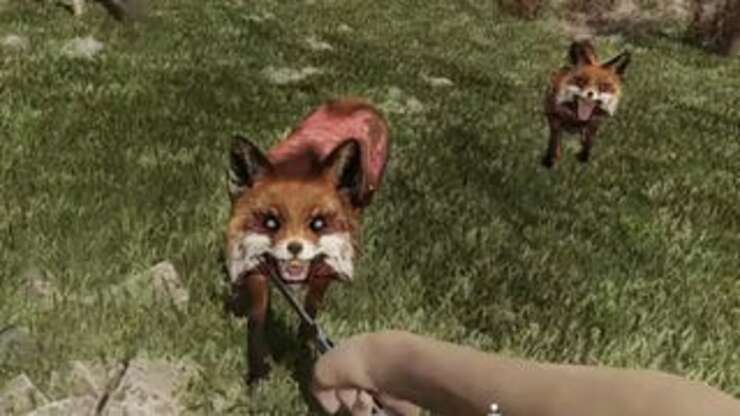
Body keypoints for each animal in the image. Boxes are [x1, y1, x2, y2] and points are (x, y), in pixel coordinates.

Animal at [225, 98, 390, 383]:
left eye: (318, 223)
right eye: (270, 222)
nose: (294, 248)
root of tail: (357, 101)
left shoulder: (326, 266)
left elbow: (311, 313)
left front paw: (305, 352)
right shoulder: (256, 262)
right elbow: (257, 321)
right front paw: (258, 374)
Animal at [542, 40, 631, 168]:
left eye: (603, 87)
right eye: (581, 81)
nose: (590, 94)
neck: (576, 119)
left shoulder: (595, 123)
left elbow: (589, 142)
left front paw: (583, 157)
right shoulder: (554, 118)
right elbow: (554, 141)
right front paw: (550, 160)